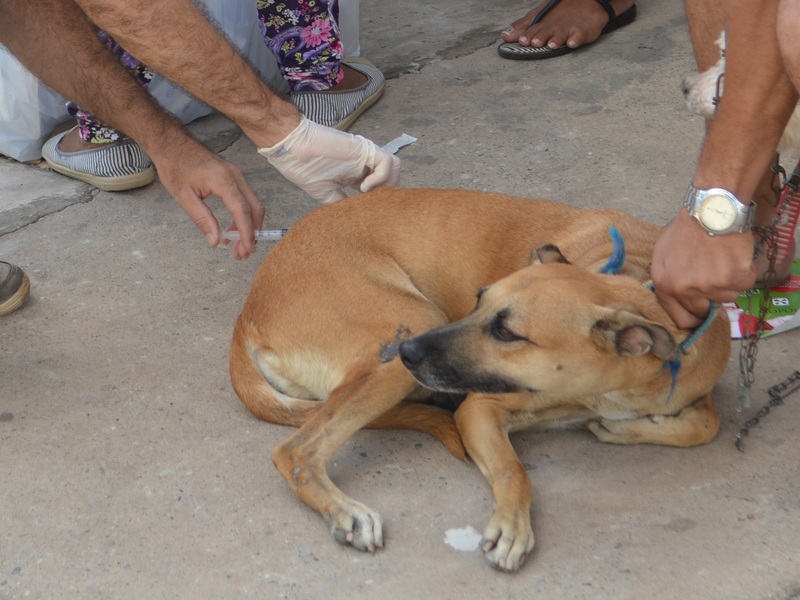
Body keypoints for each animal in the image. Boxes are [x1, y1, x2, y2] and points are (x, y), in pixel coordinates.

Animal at [228, 188, 728, 568]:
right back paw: (345, 512)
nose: (409, 352)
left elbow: (707, 423)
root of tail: (248, 310)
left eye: (506, 332)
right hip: (409, 325)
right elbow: (513, 469)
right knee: (295, 452)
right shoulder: (481, 407)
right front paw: (512, 527)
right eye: (479, 299)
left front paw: (632, 427)